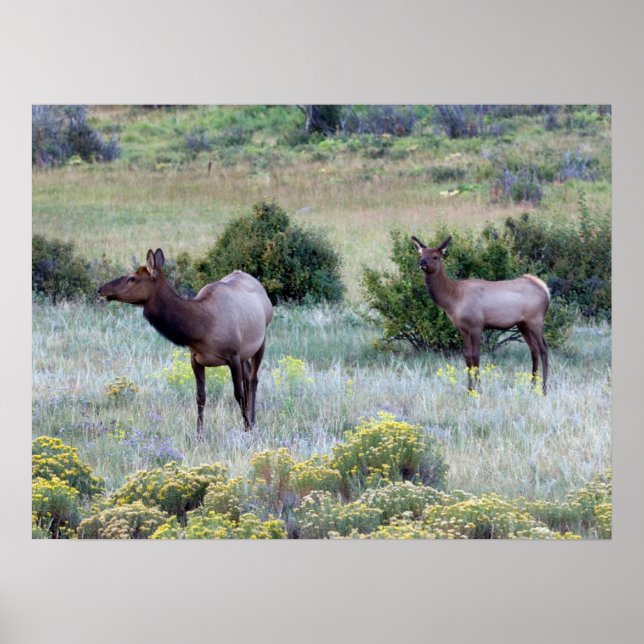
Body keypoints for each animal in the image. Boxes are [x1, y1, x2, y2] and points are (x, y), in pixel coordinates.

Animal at [98, 249, 273, 435]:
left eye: (132, 278)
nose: (101, 289)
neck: (201, 328)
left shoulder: (233, 355)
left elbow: (238, 394)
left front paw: (246, 428)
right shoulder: (196, 359)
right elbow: (200, 396)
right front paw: (199, 434)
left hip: (261, 340)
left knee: (253, 379)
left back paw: (253, 422)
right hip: (245, 354)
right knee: (248, 376)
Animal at [411, 235, 550, 394]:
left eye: (435, 256)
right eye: (421, 254)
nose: (422, 263)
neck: (453, 300)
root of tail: (546, 290)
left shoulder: (476, 325)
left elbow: (476, 356)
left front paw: (479, 389)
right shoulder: (463, 328)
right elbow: (467, 356)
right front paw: (469, 389)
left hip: (536, 320)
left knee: (543, 349)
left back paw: (544, 389)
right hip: (523, 324)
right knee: (534, 350)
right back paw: (532, 387)